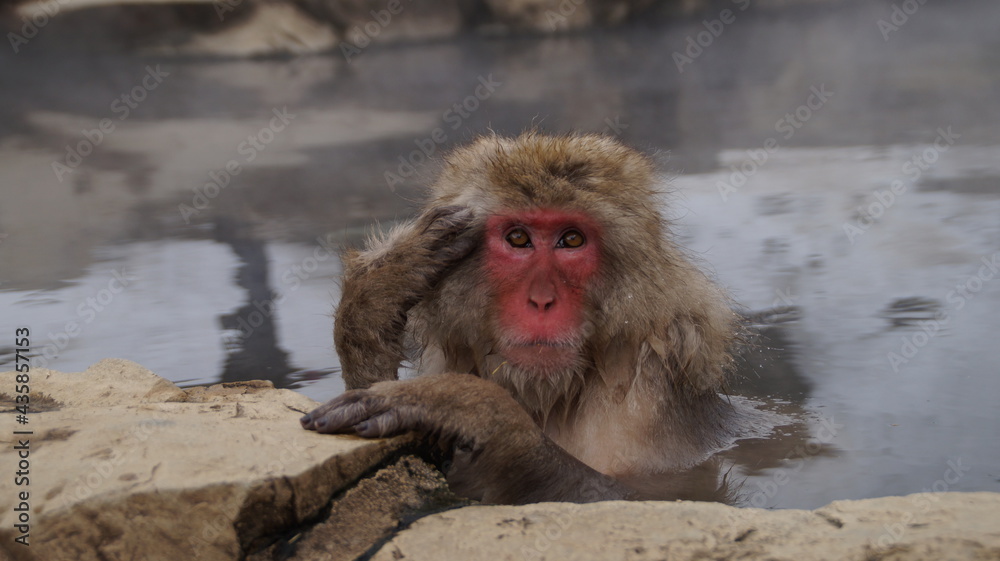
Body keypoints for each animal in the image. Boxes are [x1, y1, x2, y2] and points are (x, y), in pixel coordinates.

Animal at [301, 132, 748, 504]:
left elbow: (641, 498)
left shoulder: (644, 404)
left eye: (571, 239)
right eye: (518, 238)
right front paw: (382, 287)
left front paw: (476, 410)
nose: (541, 301)